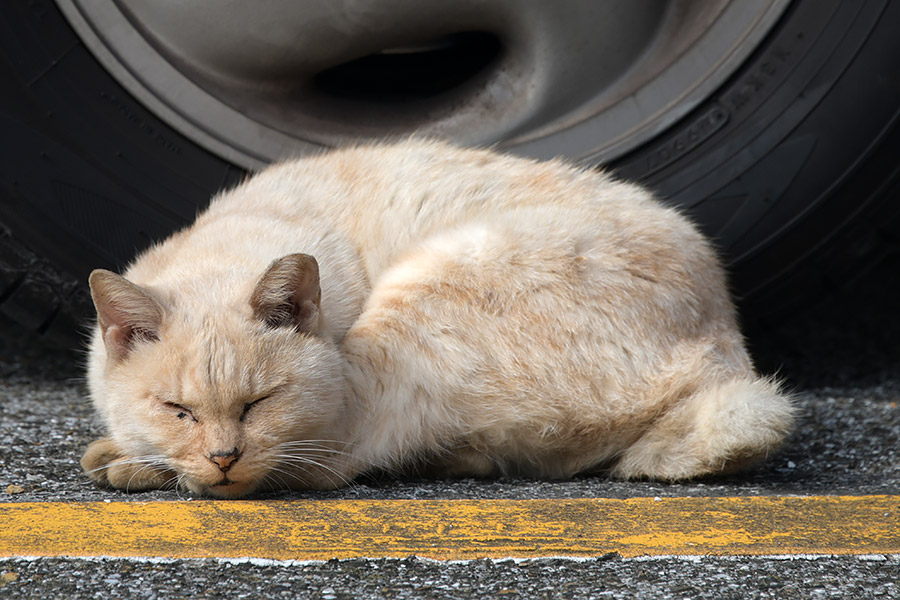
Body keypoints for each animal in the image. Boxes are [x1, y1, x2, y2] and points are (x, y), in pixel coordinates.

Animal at [79, 139, 796, 496]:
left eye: (260, 404)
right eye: (178, 410)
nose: (224, 456)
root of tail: (723, 352)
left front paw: (145, 459)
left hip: (430, 287)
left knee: (335, 460)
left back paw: (126, 465)